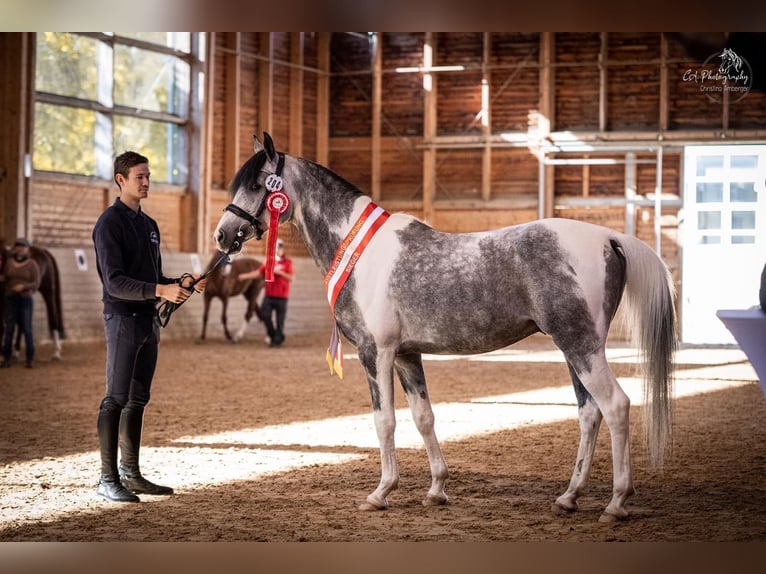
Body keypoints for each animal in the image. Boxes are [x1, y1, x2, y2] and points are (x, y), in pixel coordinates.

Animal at [212, 132, 677, 522]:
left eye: (257, 185)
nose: (222, 234)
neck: (358, 247)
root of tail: (608, 238)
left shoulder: (375, 352)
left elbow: (384, 420)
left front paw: (381, 492)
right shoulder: (406, 354)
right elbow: (424, 417)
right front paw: (436, 489)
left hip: (581, 346)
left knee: (615, 406)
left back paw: (616, 503)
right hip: (574, 348)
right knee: (589, 413)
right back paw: (569, 497)